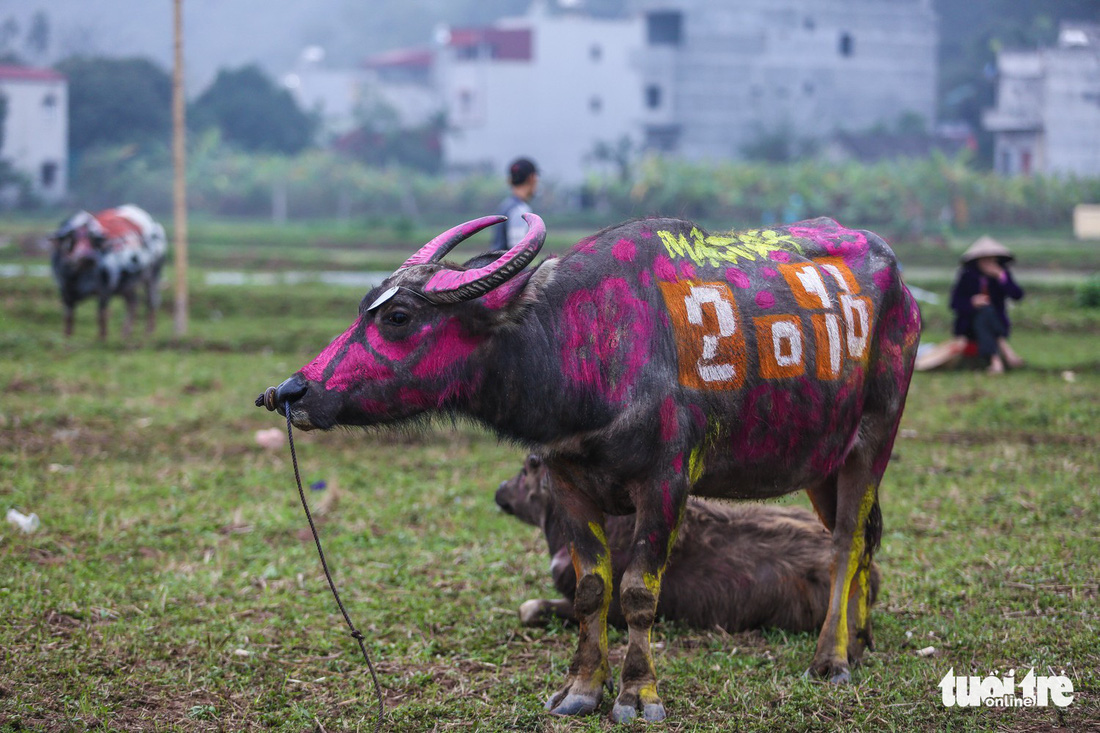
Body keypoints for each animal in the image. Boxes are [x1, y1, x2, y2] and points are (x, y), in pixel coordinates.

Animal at [50, 203, 165, 338]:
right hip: (128, 285)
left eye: (93, 239)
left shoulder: (105, 290)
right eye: (73, 237)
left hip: (153, 276)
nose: (88, 257)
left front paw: (102, 338)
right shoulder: (64, 291)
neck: (78, 275)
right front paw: (67, 337)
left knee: (152, 301)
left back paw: (148, 332)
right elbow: (68, 317)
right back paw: (125, 333)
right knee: (133, 303)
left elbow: (101, 315)